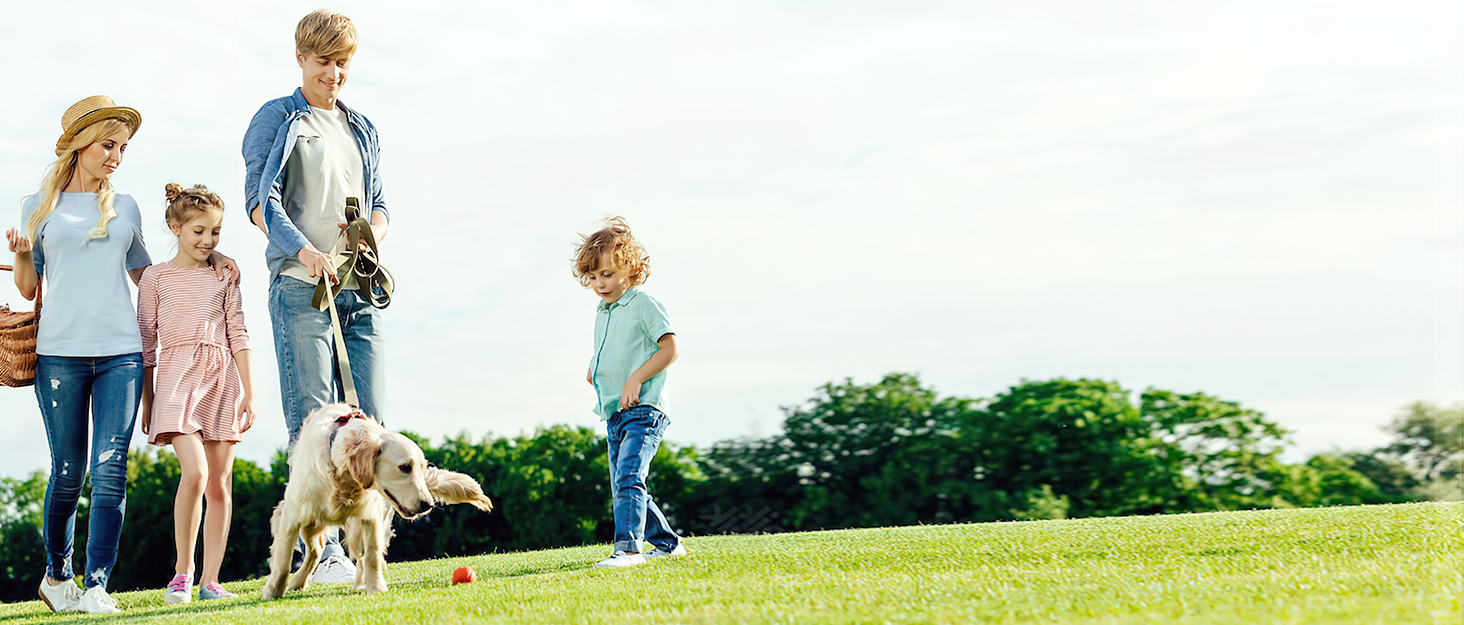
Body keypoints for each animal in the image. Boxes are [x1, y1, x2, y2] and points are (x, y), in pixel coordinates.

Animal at [262, 403, 491, 600]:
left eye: (422, 468)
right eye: (405, 467)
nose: (428, 505)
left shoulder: (370, 515)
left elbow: (372, 556)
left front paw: (376, 587)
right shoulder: (290, 516)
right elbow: (283, 561)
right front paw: (273, 591)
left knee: (348, 554)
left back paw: (359, 583)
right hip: (311, 522)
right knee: (315, 550)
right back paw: (298, 582)